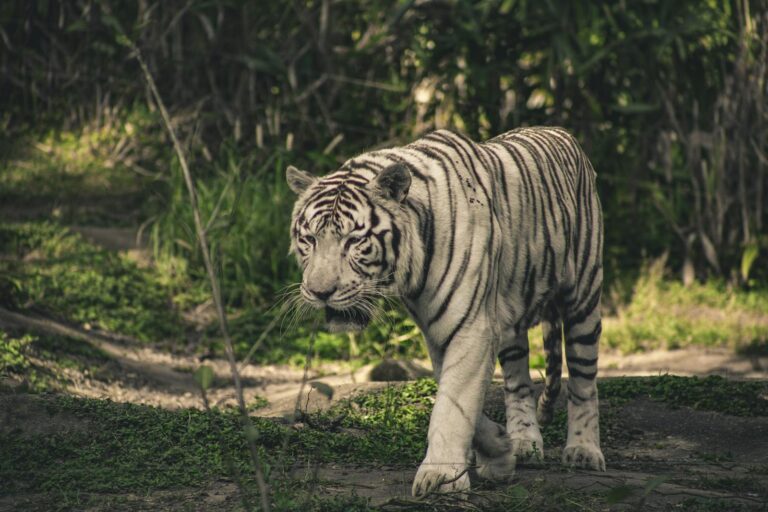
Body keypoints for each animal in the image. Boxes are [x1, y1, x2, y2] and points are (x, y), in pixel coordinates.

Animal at [286, 126, 605, 496]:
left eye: (354, 240)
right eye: (309, 239)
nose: (320, 293)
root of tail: (561, 132)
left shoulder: (470, 327)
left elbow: (453, 407)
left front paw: (440, 476)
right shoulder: (442, 332)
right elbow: (460, 400)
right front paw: (501, 451)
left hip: (583, 297)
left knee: (583, 381)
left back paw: (583, 450)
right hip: (511, 321)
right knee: (518, 383)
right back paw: (526, 443)